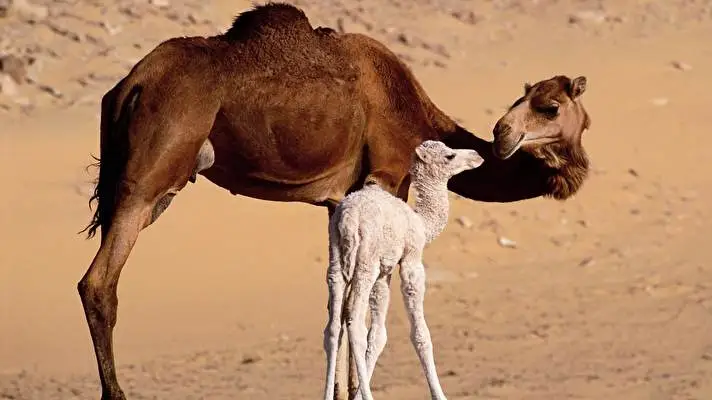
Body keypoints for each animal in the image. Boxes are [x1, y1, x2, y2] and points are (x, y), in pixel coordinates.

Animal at [324, 141, 484, 400]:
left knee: (332, 329)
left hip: (336, 260)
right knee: (355, 324)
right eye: (449, 156)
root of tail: (349, 219)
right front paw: (439, 394)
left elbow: (378, 334)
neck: (422, 222)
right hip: (365, 263)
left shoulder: (384, 271)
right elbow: (421, 334)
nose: (477, 156)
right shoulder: (411, 260)